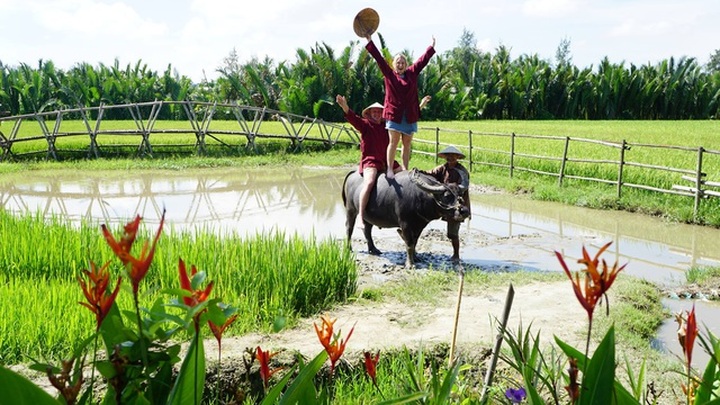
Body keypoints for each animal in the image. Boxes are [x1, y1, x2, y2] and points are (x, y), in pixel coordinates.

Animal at [341, 168, 469, 266]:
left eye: (460, 194)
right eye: (446, 196)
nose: (464, 211)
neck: (419, 196)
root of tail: (353, 173)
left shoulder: (420, 225)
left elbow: (415, 242)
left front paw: (416, 257)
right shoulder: (405, 224)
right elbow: (409, 243)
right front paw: (410, 263)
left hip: (368, 216)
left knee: (367, 230)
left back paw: (373, 249)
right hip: (351, 210)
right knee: (349, 227)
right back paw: (348, 248)